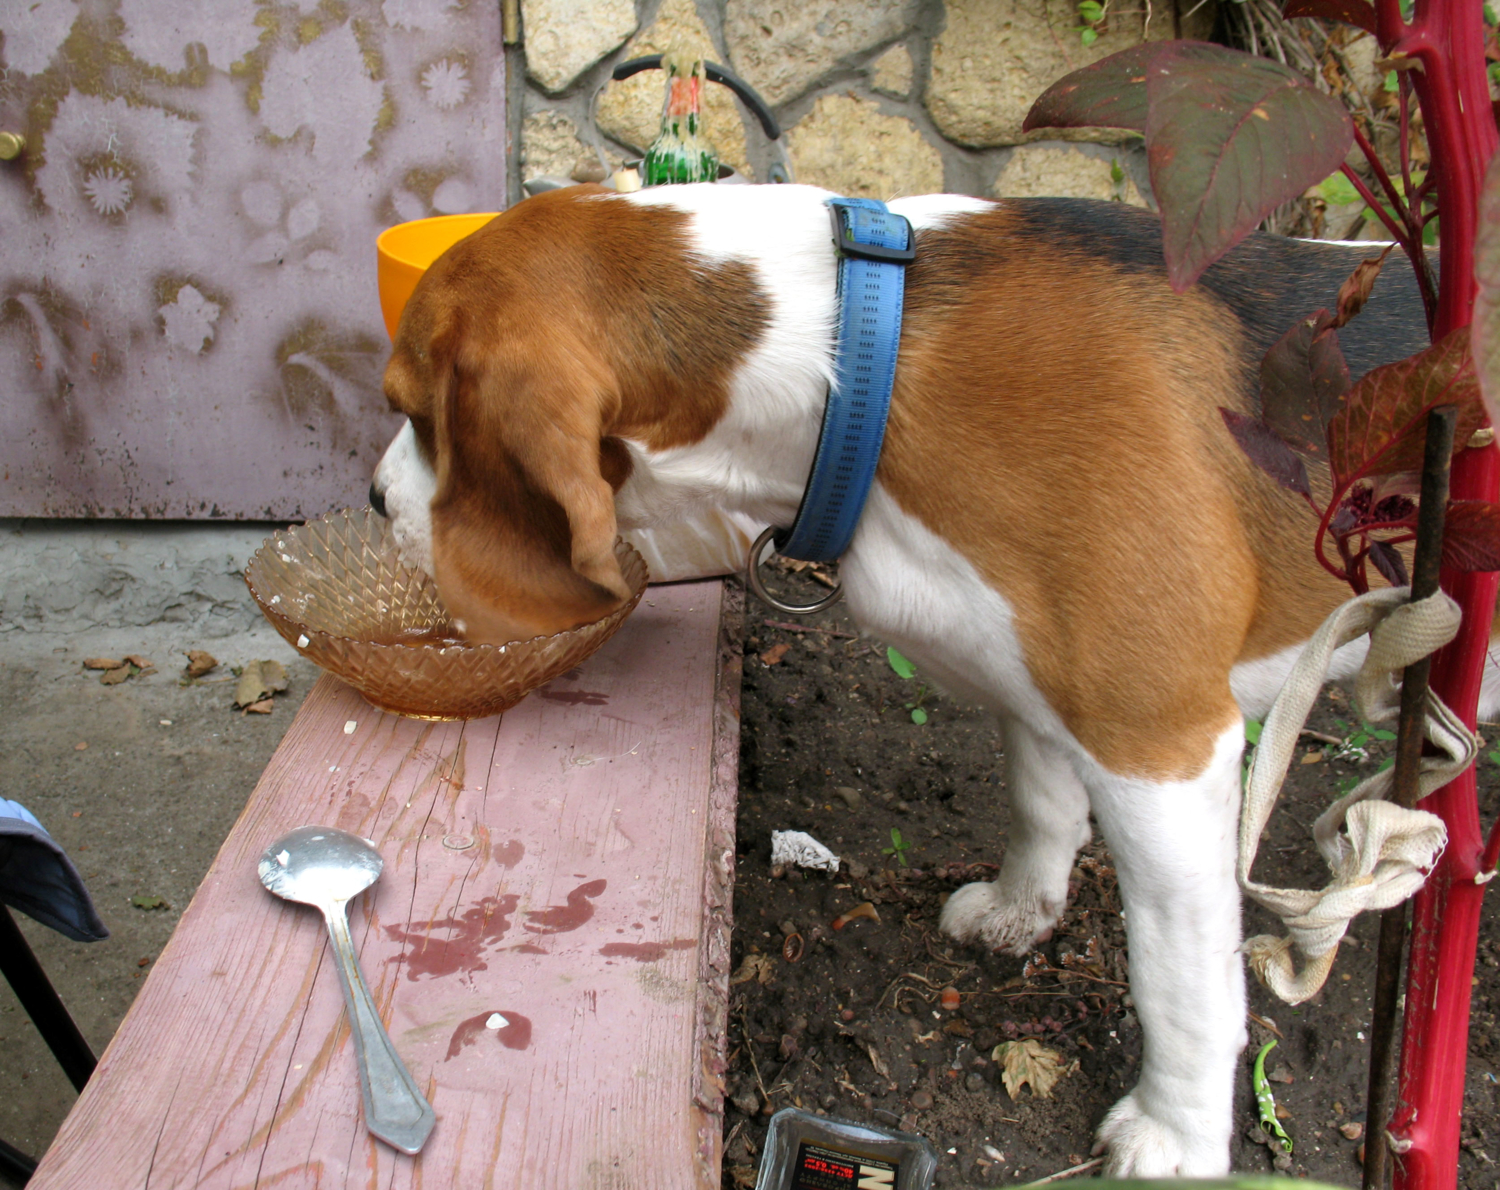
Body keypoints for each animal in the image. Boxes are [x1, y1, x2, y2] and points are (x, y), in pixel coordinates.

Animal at [369, 183, 1494, 1170]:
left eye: (413, 412)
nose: (377, 498)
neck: (858, 359)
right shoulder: (1035, 681)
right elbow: (1042, 803)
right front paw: (1021, 911)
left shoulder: (1161, 742)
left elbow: (1182, 975)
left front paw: (1175, 1135)